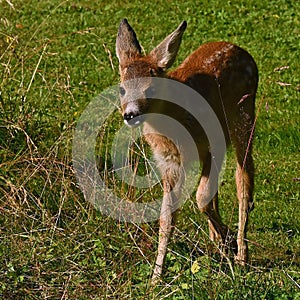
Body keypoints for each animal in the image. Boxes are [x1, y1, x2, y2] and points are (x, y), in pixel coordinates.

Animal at [116, 18, 258, 282]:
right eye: (122, 88)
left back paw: (241, 254)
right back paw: (218, 238)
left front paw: (230, 243)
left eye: (151, 89)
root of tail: (239, 49)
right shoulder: (168, 161)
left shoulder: (214, 141)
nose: (130, 114)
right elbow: (166, 217)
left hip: (244, 116)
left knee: (243, 178)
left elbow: (201, 196)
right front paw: (156, 277)